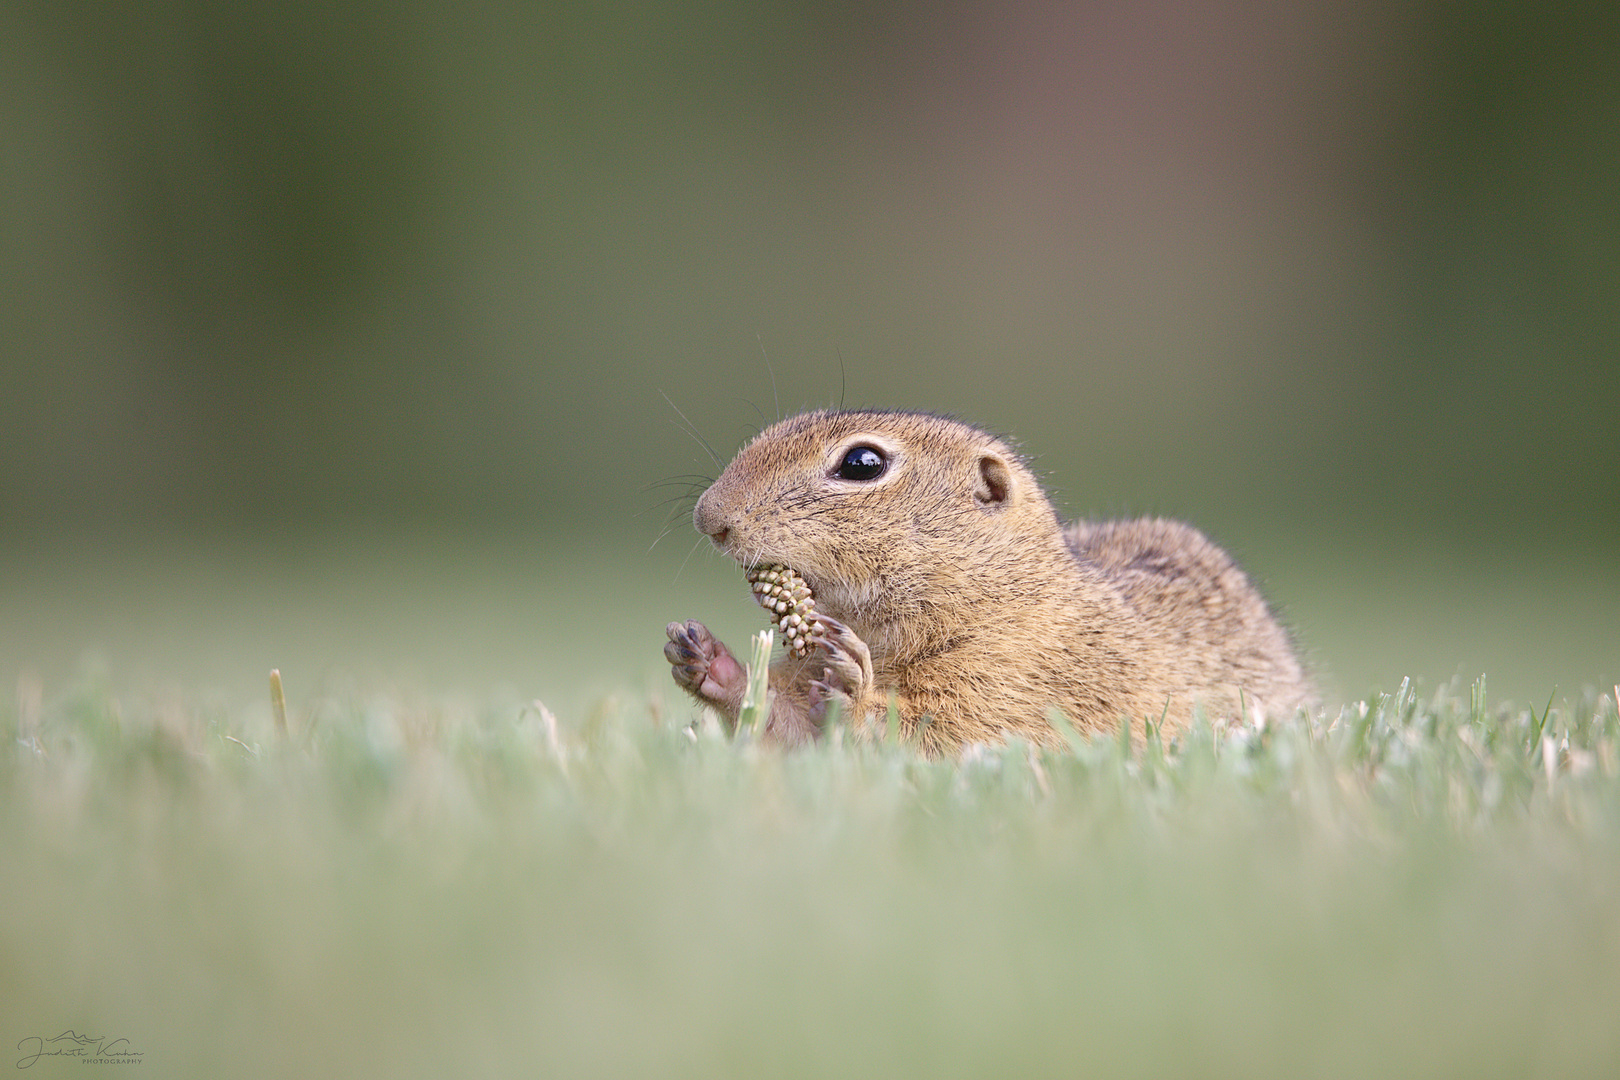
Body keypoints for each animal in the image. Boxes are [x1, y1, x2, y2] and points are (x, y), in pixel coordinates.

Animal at [664, 409, 1308, 757]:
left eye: (862, 464)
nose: (708, 516)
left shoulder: (1017, 685)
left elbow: (932, 737)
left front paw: (854, 691)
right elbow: (787, 731)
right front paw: (708, 659)